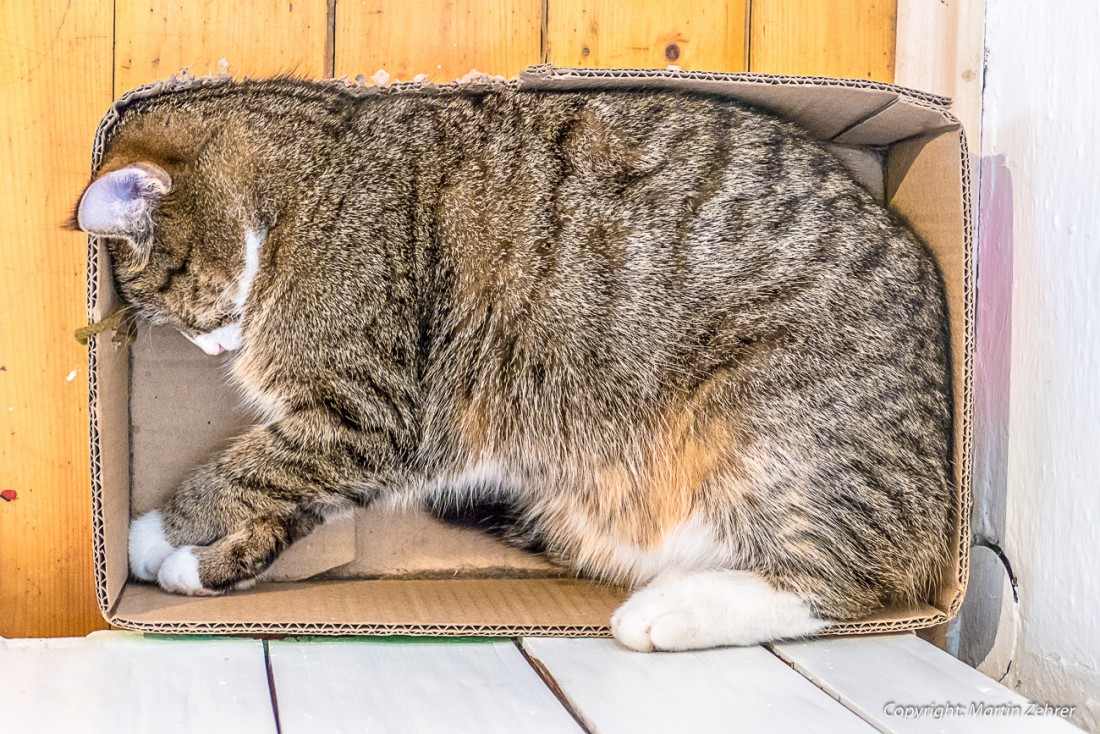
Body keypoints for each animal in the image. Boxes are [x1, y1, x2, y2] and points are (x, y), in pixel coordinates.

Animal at [73, 79, 950, 655]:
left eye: (172, 297)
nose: (216, 349)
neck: (307, 184)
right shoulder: (351, 438)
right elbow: (287, 499)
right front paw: (201, 567)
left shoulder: (373, 413)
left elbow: (240, 472)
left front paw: (152, 531)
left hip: (769, 426)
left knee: (838, 581)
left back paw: (666, 615)